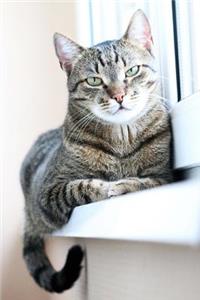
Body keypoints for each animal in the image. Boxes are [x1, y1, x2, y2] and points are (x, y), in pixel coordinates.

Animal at [20, 9, 172, 292]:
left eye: (132, 70)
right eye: (93, 80)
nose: (119, 95)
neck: (122, 139)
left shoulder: (164, 175)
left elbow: (145, 182)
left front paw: (124, 184)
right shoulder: (47, 192)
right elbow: (77, 187)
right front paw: (105, 187)